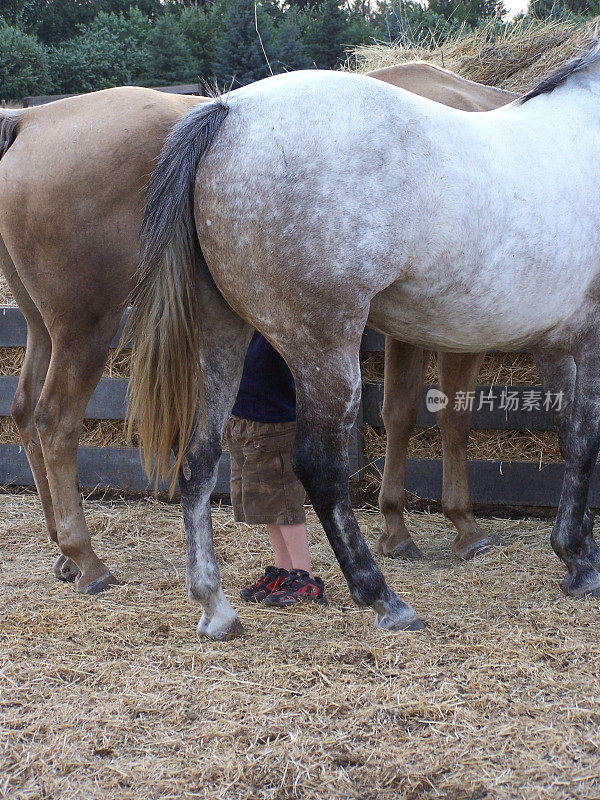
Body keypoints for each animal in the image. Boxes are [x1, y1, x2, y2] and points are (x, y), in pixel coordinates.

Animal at [0, 69, 512, 604]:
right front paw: (462, 526)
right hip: (85, 327)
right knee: (54, 421)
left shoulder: (408, 326)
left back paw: (62, 548)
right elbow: (451, 419)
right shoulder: (458, 326)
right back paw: (87, 557)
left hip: (41, 325)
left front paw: (396, 527)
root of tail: (30, 119)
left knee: (24, 408)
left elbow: (399, 413)